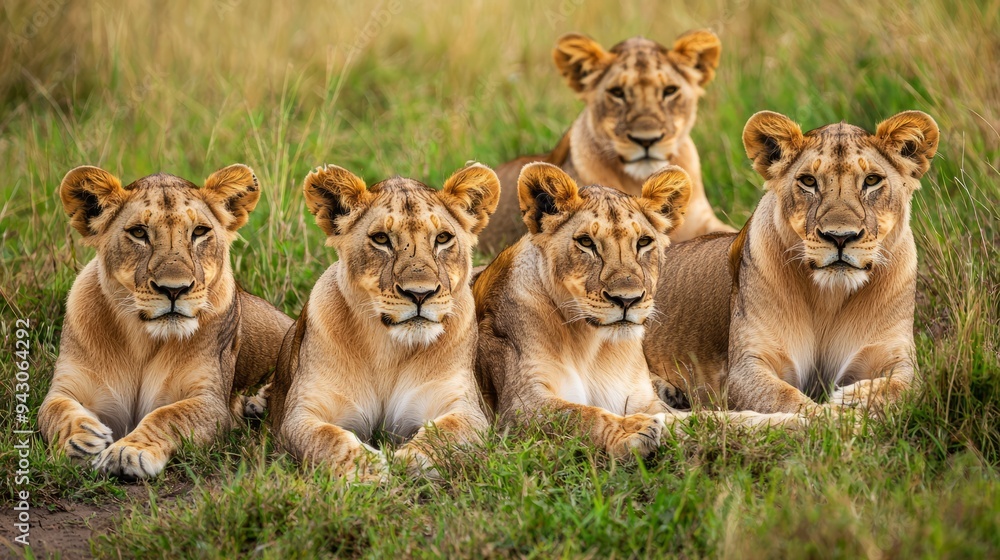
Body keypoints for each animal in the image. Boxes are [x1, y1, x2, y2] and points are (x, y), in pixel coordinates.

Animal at [39, 165, 293, 480]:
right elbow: (54, 411)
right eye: (138, 232)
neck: (142, 339)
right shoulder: (67, 387)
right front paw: (82, 440)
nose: (174, 290)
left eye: (199, 232)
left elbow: (168, 416)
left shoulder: (211, 402)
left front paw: (129, 451)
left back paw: (257, 404)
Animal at [267, 163, 500, 480]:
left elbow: (446, 435)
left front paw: (405, 461)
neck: (389, 350)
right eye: (381, 239)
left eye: (442, 238)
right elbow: (327, 439)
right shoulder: (299, 414)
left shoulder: (466, 408)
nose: (420, 293)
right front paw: (369, 470)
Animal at [474, 163, 801, 459]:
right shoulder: (520, 406)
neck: (591, 346)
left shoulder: (644, 402)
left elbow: (712, 420)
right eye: (586, 242)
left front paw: (796, 422)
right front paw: (633, 432)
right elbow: (582, 415)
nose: (627, 300)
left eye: (643, 242)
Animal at [644, 111, 940, 414]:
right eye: (808, 181)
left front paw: (850, 400)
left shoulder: (897, 359)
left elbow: (901, 388)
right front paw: (831, 415)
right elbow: (791, 402)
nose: (840, 237)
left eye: (871, 180)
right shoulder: (746, 366)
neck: (829, 299)